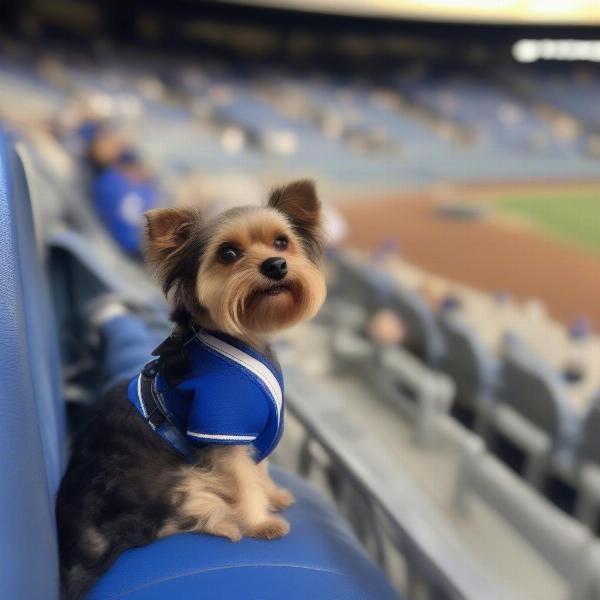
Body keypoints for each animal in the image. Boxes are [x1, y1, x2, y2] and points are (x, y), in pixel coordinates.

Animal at [55, 180, 326, 596]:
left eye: (282, 242)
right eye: (228, 254)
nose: (276, 265)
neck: (244, 337)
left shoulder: (251, 430)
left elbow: (258, 468)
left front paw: (273, 495)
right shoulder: (221, 427)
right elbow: (243, 478)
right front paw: (260, 521)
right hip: (163, 480)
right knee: (174, 515)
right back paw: (226, 520)